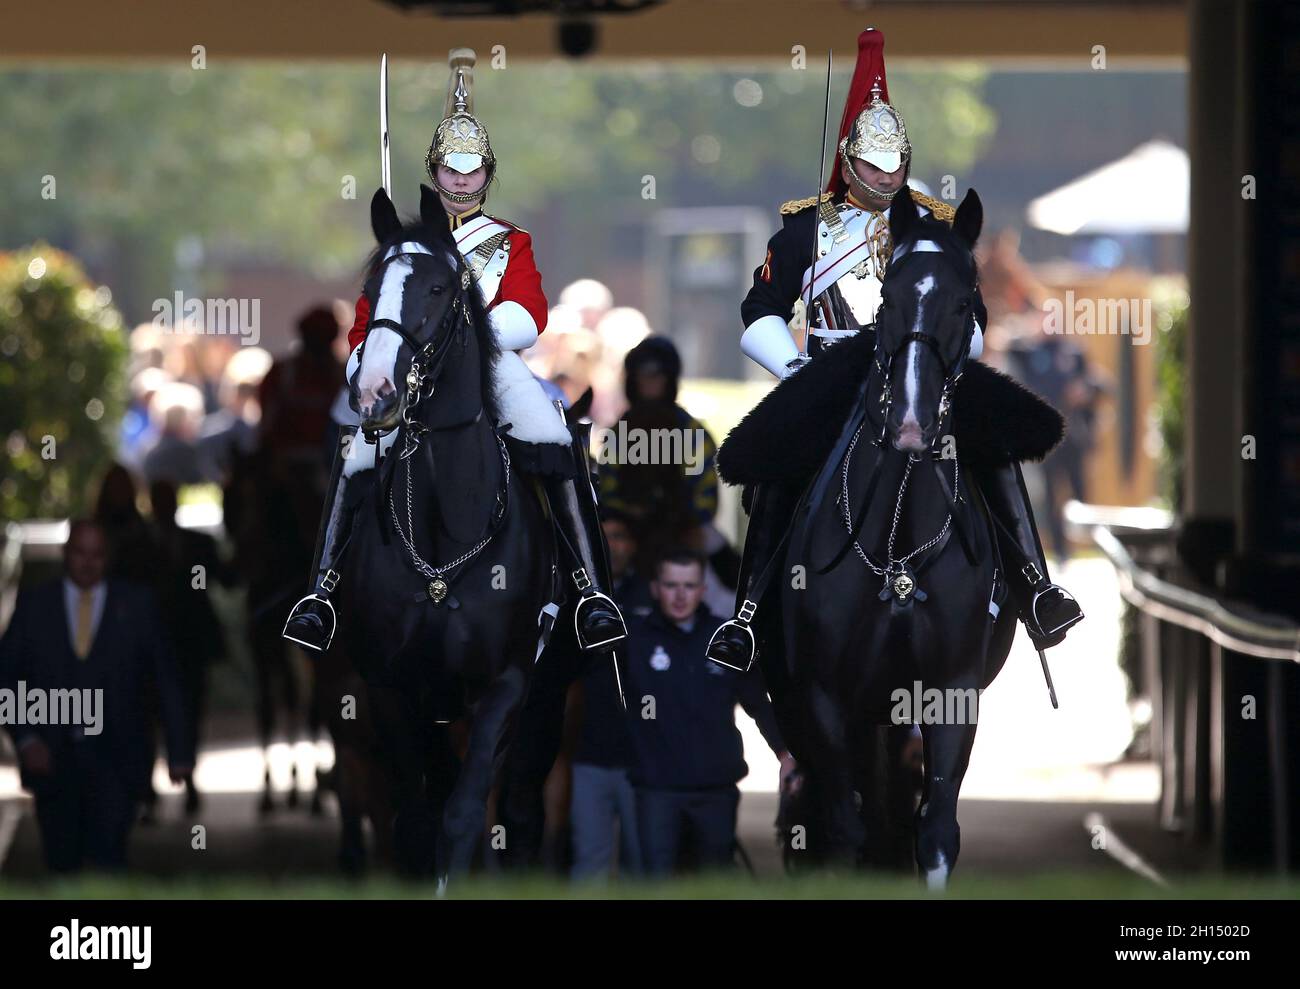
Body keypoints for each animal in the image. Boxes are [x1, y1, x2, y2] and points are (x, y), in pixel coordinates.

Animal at [340, 187, 559, 888]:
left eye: (438, 287)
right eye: (370, 290)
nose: (374, 394)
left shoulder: (505, 687)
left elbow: (463, 815)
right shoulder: (392, 690)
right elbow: (416, 820)